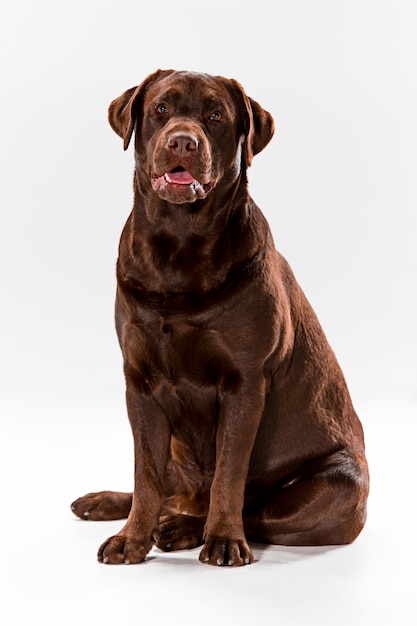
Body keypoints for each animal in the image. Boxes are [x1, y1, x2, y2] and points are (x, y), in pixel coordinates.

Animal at [70, 69, 368, 564]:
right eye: (161, 109)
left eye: (215, 116)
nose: (183, 142)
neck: (178, 244)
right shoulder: (140, 382)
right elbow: (145, 474)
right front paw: (131, 539)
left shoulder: (244, 384)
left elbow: (230, 474)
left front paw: (224, 540)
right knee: (165, 486)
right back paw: (109, 504)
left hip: (339, 483)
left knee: (255, 510)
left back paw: (186, 527)